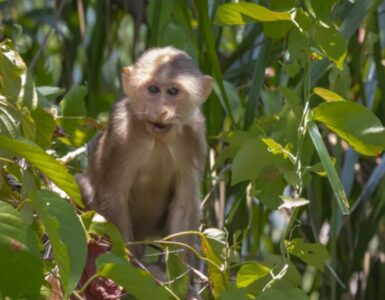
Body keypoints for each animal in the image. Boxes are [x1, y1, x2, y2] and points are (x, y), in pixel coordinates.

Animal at [76, 46, 212, 270]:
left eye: (173, 91)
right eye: (153, 89)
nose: (159, 111)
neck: (157, 137)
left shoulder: (195, 133)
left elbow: (184, 204)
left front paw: (179, 274)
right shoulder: (122, 126)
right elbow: (114, 196)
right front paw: (128, 265)